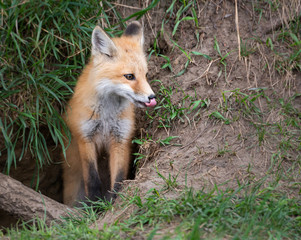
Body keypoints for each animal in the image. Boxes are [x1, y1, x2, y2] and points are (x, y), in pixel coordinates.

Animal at [62, 21, 156, 206]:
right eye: (129, 76)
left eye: (146, 74)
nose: (152, 97)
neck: (107, 115)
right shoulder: (85, 137)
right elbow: (92, 178)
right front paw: (93, 204)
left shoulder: (120, 139)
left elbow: (118, 178)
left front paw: (115, 200)